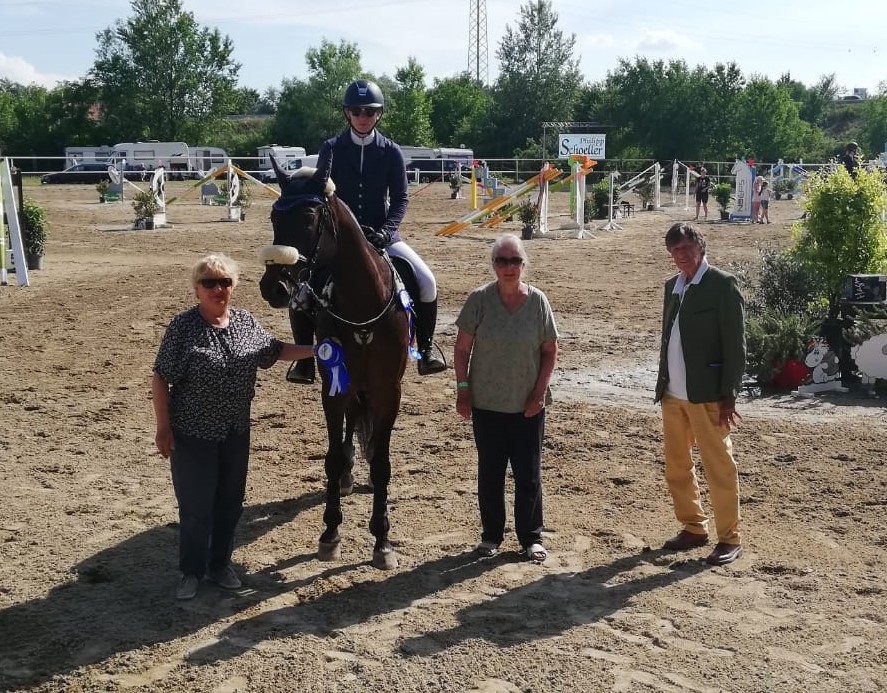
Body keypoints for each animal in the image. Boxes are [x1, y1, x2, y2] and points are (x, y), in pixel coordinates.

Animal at [256, 155, 410, 568]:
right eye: (275, 216)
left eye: (310, 216)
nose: (274, 287)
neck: (363, 306)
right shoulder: (334, 389)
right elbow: (333, 457)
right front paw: (330, 533)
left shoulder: (388, 392)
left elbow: (383, 464)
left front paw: (382, 540)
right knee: (350, 429)